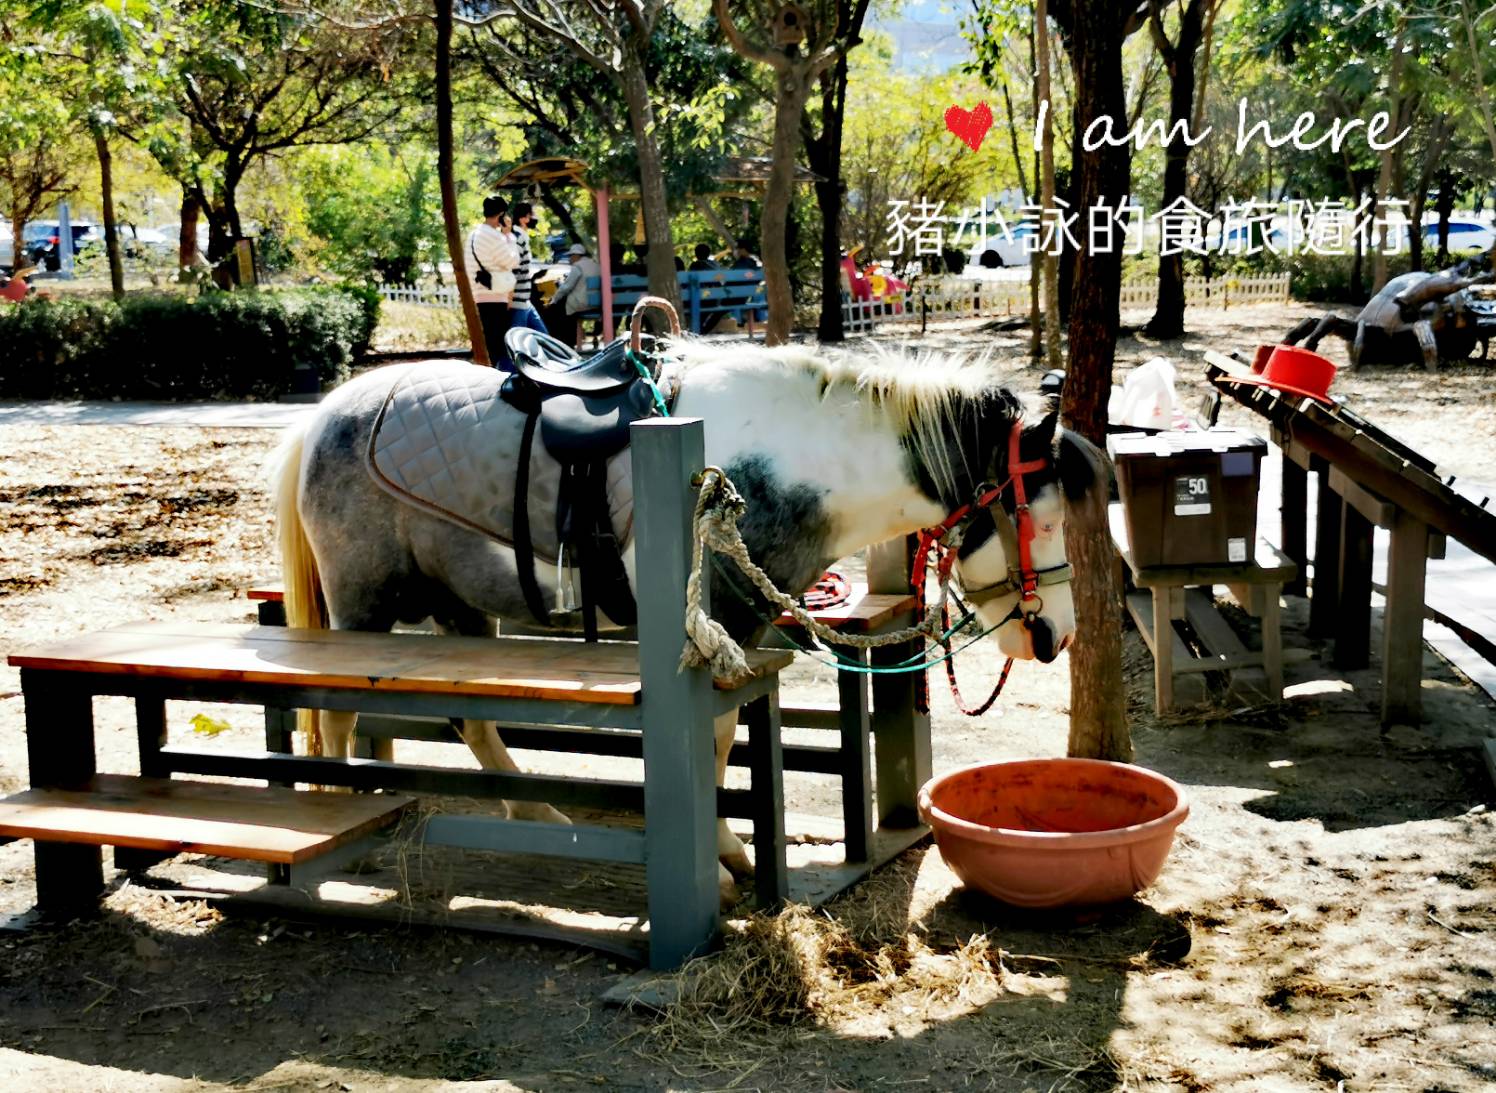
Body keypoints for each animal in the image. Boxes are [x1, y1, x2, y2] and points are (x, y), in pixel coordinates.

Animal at [267, 339, 1107, 903]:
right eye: (1043, 517)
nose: (1054, 635)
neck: (786, 465)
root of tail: (321, 417)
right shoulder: (716, 623)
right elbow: (711, 738)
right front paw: (726, 858)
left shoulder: (746, 628)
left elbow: (725, 737)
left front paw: (730, 854)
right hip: (363, 603)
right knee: (336, 714)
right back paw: (339, 817)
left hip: (460, 605)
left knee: (470, 720)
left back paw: (533, 807)